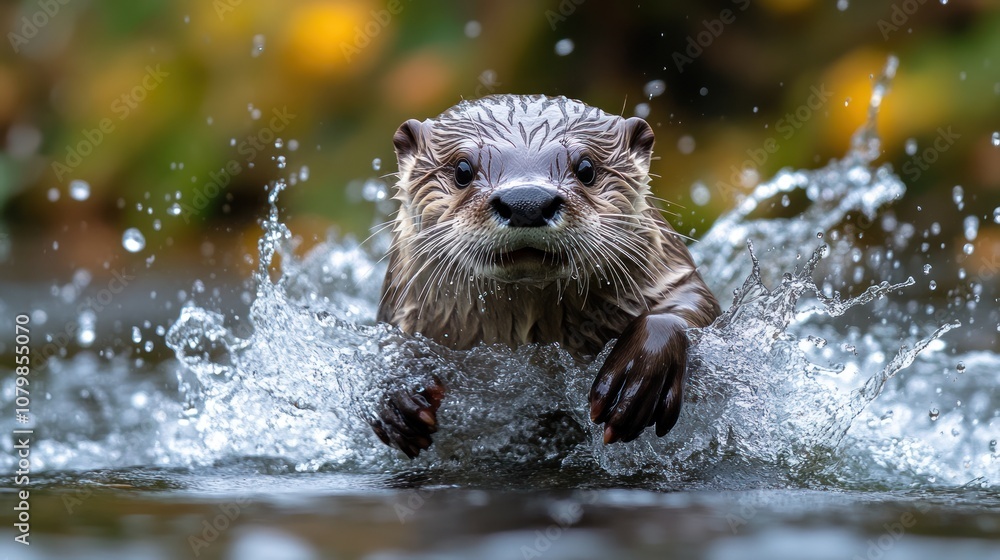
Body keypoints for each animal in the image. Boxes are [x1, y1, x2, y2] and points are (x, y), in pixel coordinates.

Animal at [369, 94, 720, 458]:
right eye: (462, 170)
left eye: (586, 168)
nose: (527, 202)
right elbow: (389, 340)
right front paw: (400, 389)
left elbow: (693, 310)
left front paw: (638, 373)